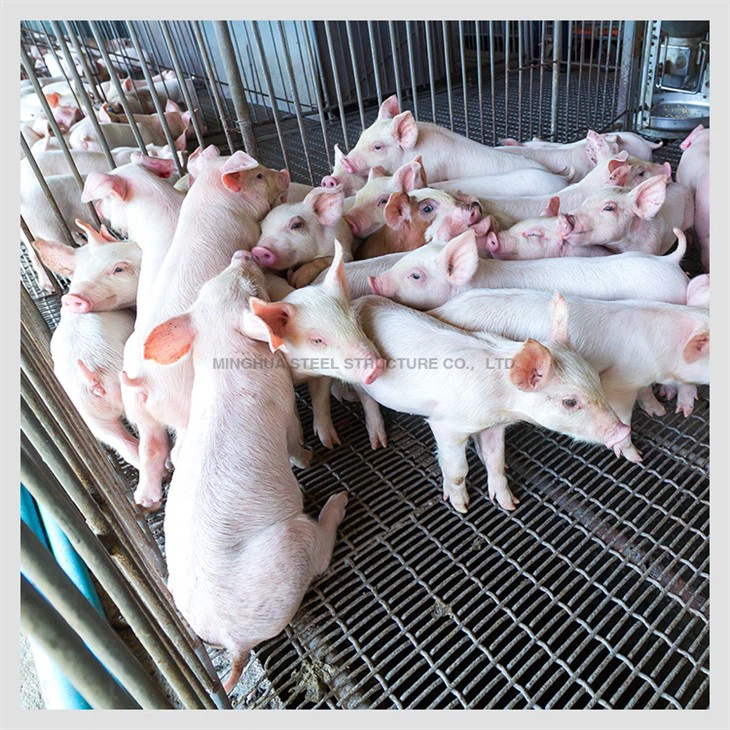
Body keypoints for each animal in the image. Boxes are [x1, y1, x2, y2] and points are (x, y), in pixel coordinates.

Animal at [118, 148, 290, 510]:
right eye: (258, 175)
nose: (282, 171)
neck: (210, 201)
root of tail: (143, 377)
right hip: (184, 403)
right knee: (178, 446)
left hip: (139, 413)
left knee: (151, 446)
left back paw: (147, 501)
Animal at [144, 250, 348, 693]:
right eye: (251, 291)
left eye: (210, 284)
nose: (242, 254)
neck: (222, 348)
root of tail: (232, 640)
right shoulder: (284, 406)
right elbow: (293, 443)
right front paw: (309, 458)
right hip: (293, 542)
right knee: (319, 555)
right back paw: (338, 501)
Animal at [352, 293, 631, 512]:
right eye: (570, 402)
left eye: (596, 380)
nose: (623, 429)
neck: (501, 405)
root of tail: (358, 301)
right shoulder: (446, 426)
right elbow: (457, 470)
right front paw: (461, 507)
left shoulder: (495, 426)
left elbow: (496, 460)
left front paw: (510, 504)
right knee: (365, 399)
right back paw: (379, 442)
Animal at [430, 289, 709, 446]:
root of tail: (441, 309)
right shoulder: (621, 379)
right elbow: (622, 411)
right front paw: (633, 454)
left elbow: (646, 393)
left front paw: (660, 411)